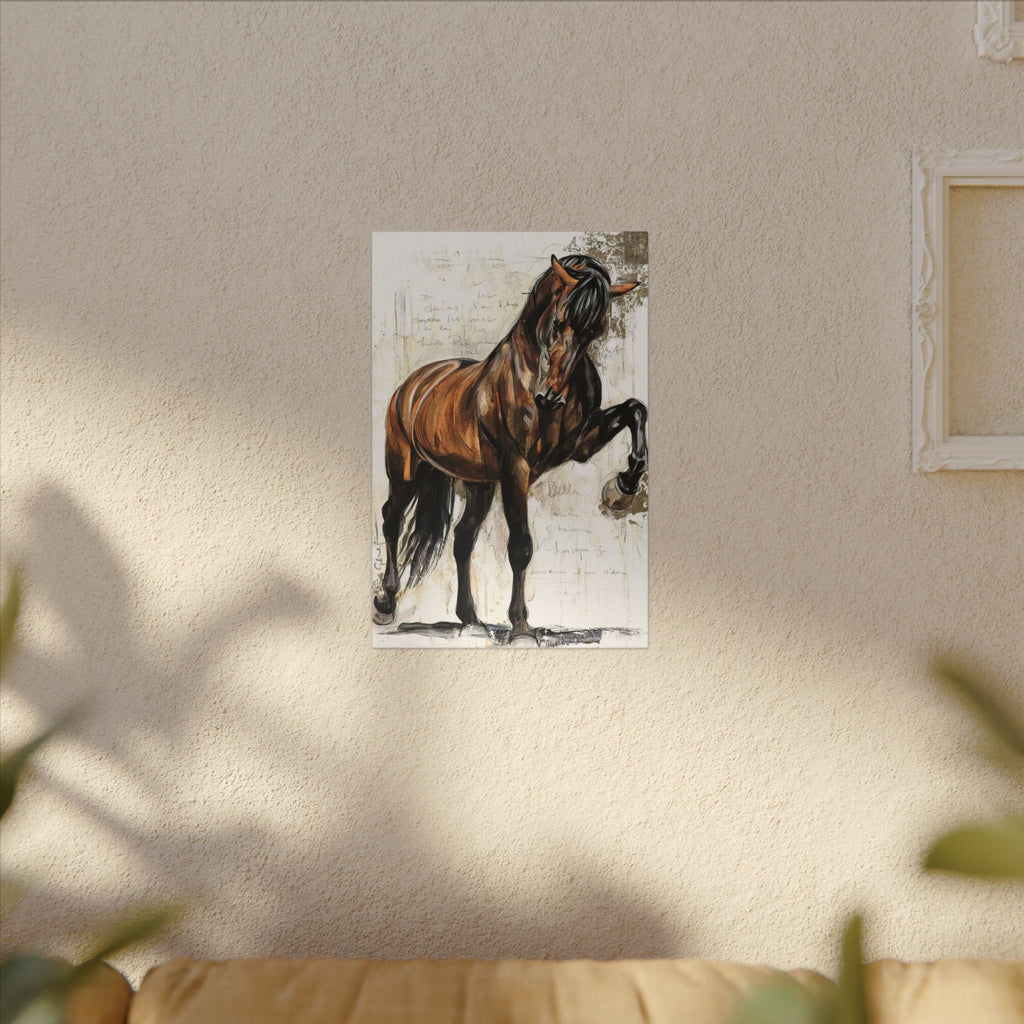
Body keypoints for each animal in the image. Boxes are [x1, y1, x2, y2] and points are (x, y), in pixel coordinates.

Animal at [373, 253, 647, 642]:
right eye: (559, 320)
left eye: (596, 330)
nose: (550, 398)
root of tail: (412, 385)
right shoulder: (516, 469)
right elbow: (520, 546)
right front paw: (520, 628)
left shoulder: (581, 444)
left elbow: (636, 409)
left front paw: (622, 487)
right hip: (406, 471)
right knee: (391, 520)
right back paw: (386, 603)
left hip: (479, 485)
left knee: (462, 539)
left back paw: (470, 619)